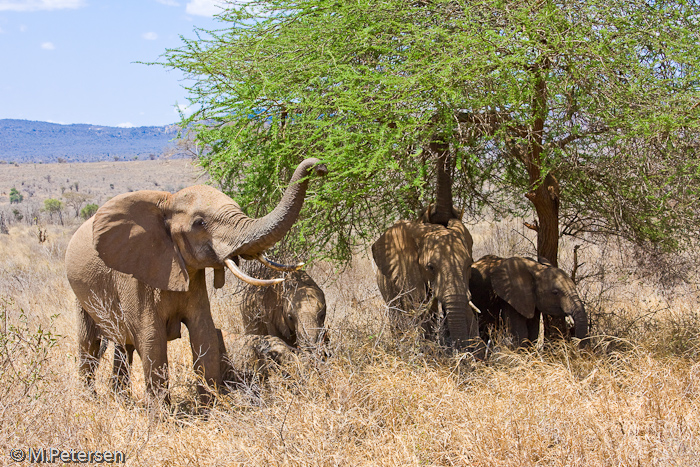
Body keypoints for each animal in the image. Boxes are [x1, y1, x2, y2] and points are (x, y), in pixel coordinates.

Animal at [64, 159, 326, 404]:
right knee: (89, 344)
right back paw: (91, 400)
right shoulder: (133, 275)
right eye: (200, 223)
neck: (167, 202)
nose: (321, 167)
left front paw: (209, 410)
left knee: (122, 343)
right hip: (80, 293)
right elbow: (151, 339)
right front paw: (163, 418)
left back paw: (121, 399)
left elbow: (204, 331)